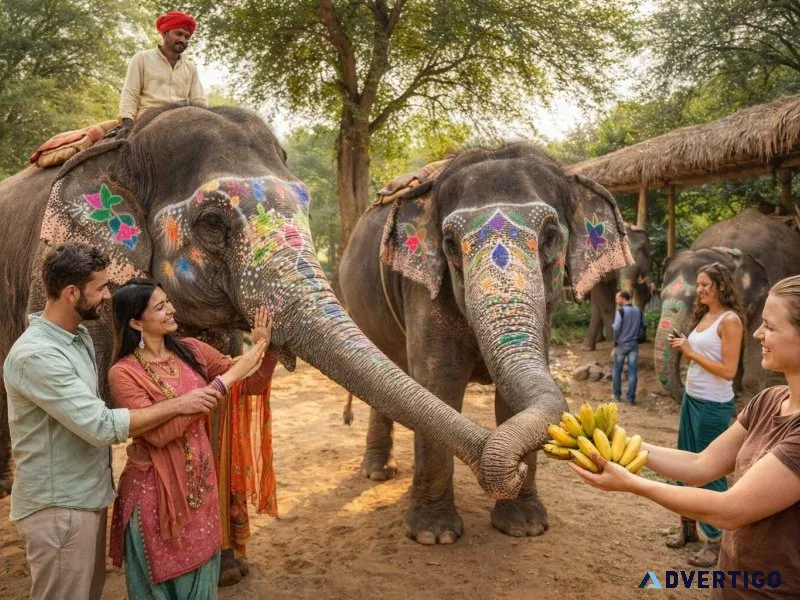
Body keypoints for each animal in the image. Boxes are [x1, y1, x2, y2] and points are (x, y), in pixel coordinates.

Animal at [338, 143, 633, 544]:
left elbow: (512, 400)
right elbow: (439, 386)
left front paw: (524, 526)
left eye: (550, 236)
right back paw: (378, 472)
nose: (514, 470)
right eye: (449, 242)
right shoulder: (424, 289)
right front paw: (434, 535)